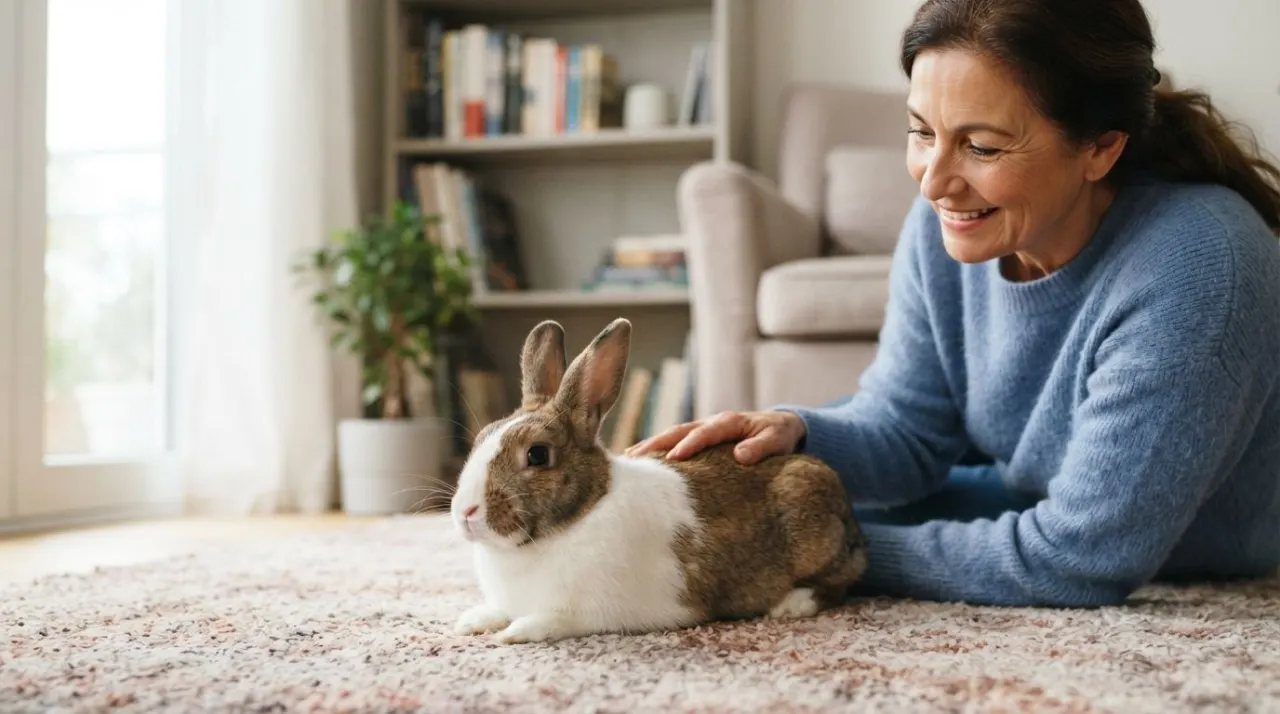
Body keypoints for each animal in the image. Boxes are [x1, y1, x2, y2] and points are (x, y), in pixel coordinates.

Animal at [449, 317, 867, 645]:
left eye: (537, 455)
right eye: (482, 436)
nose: (465, 513)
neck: (581, 515)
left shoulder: (593, 611)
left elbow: (553, 620)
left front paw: (515, 632)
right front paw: (472, 621)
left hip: (813, 529)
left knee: (840, 582)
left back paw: (789, 605)